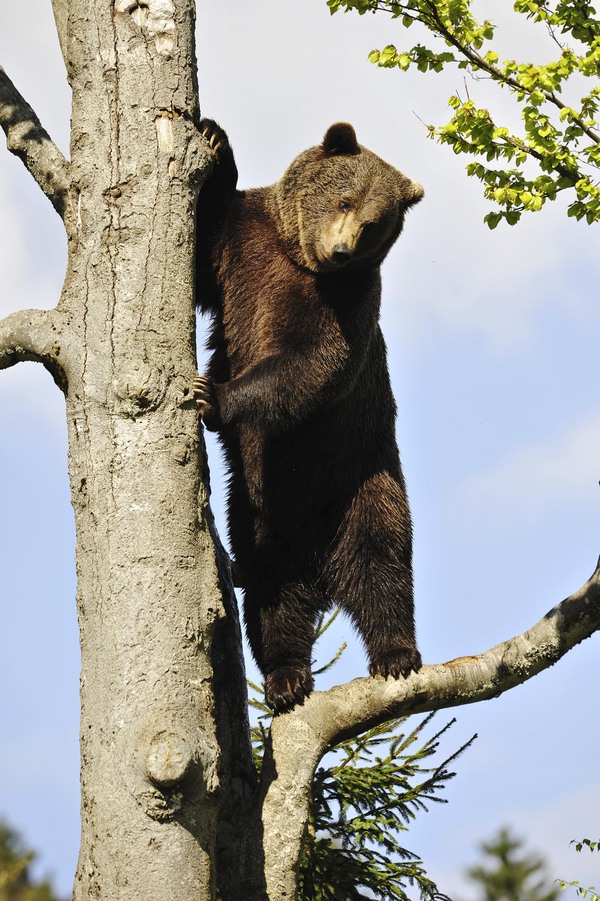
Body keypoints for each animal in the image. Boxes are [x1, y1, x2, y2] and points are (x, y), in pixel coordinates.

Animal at [195, 118, 424, 712]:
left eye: (373, 222)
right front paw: (215, 141)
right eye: (344, 199)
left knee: (383, 563)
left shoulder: (346, 303)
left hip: (364, 477)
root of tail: (322, 567)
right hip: (257, 514)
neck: (298, 259)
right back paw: (286, 678)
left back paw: (396, 653)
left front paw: (213, 395)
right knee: (270, 592)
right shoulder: (242, 250)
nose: (341, 249)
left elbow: (313, 365)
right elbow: (204, 244)